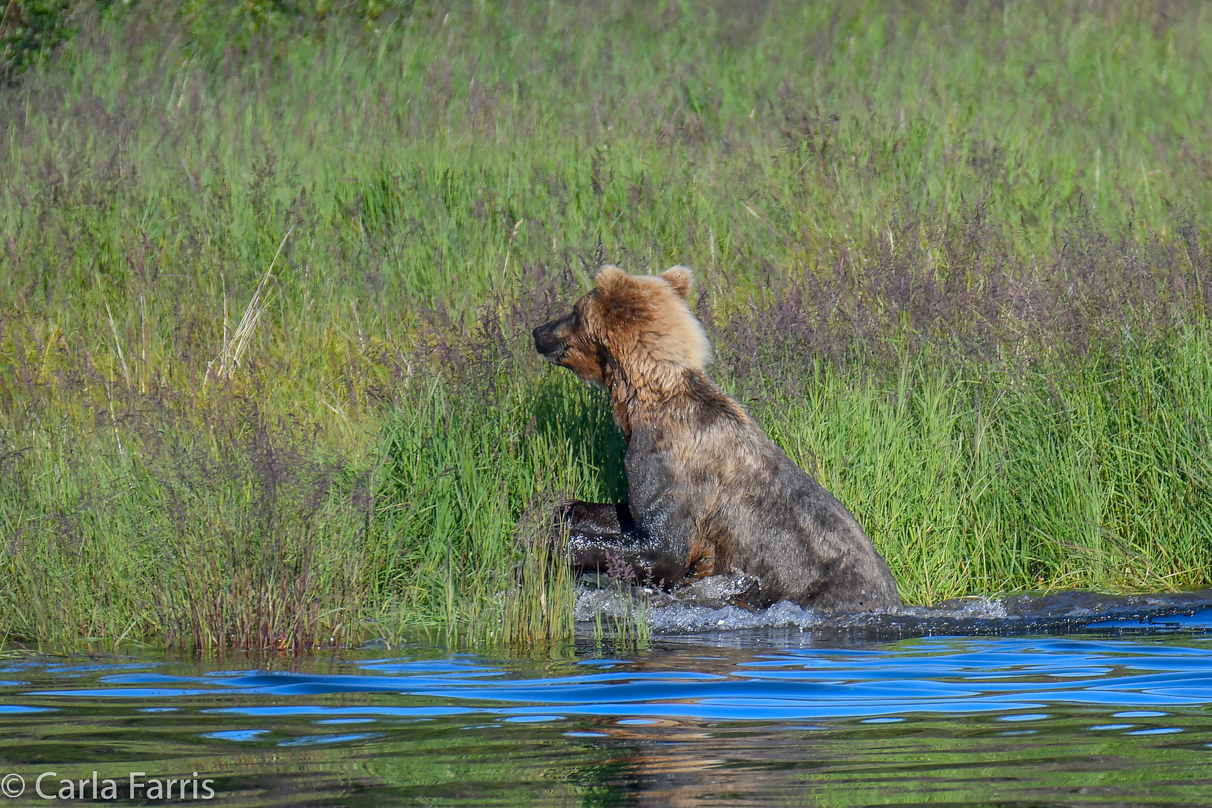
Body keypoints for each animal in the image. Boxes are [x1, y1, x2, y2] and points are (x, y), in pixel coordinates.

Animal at [530, 265, 901, 612]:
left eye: (574, 310)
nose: (538, 331)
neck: (643, 404)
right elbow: (626, 517)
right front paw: (559, 514)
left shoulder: (677, 470)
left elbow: (663, 550)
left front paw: (553, 546)